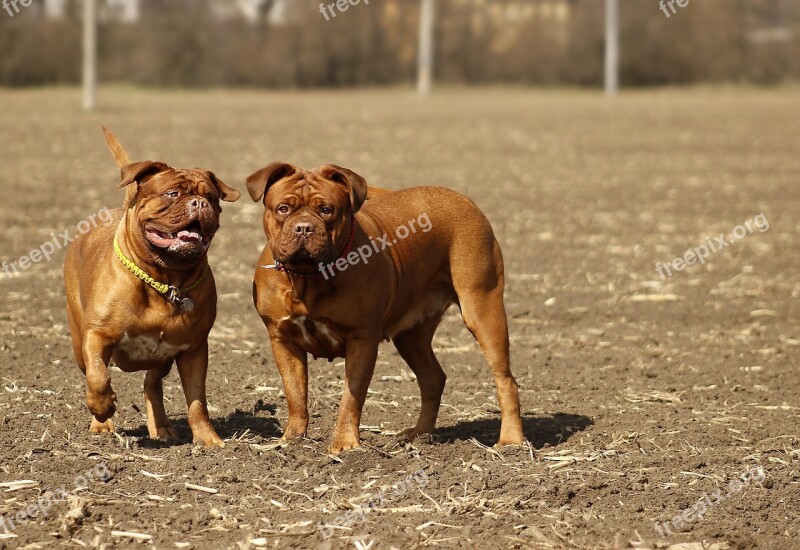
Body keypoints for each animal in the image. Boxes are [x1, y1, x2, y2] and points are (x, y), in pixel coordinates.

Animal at [63, 130, 239, 448]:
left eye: (211, 196)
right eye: (172, 193)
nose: (199, 203)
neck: (165, 278)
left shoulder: (194, 349)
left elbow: (197, 401)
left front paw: (207, 439)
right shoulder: (97, 336)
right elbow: (98, 376)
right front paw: (103, 409)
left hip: (164, 354)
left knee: (151, 384)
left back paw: (162, 427)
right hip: (78, 339)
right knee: (93, 371)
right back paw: (102, 423)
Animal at [250, 162, 524, 454]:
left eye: (326, 209)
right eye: (283, 208)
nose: (304, 228)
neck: (307, 278)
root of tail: (464, 200)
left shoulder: (362, 339)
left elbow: (351, 398)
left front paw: (345, 444)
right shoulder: (283, 340)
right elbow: (295, 394)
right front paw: (292, 439)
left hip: (482, 308)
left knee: (505, 379)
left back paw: (511, 440)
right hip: (411, 336)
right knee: (432, 378)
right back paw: (419, 434)